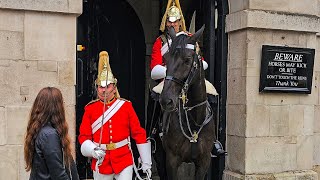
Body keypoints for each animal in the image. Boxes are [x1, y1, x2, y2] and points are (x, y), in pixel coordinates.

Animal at [159, 25, 216, 180]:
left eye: (187, 59)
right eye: (166, 59)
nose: (166, 100)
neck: (194, 120)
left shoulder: (204, 162)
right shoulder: (171, 161)